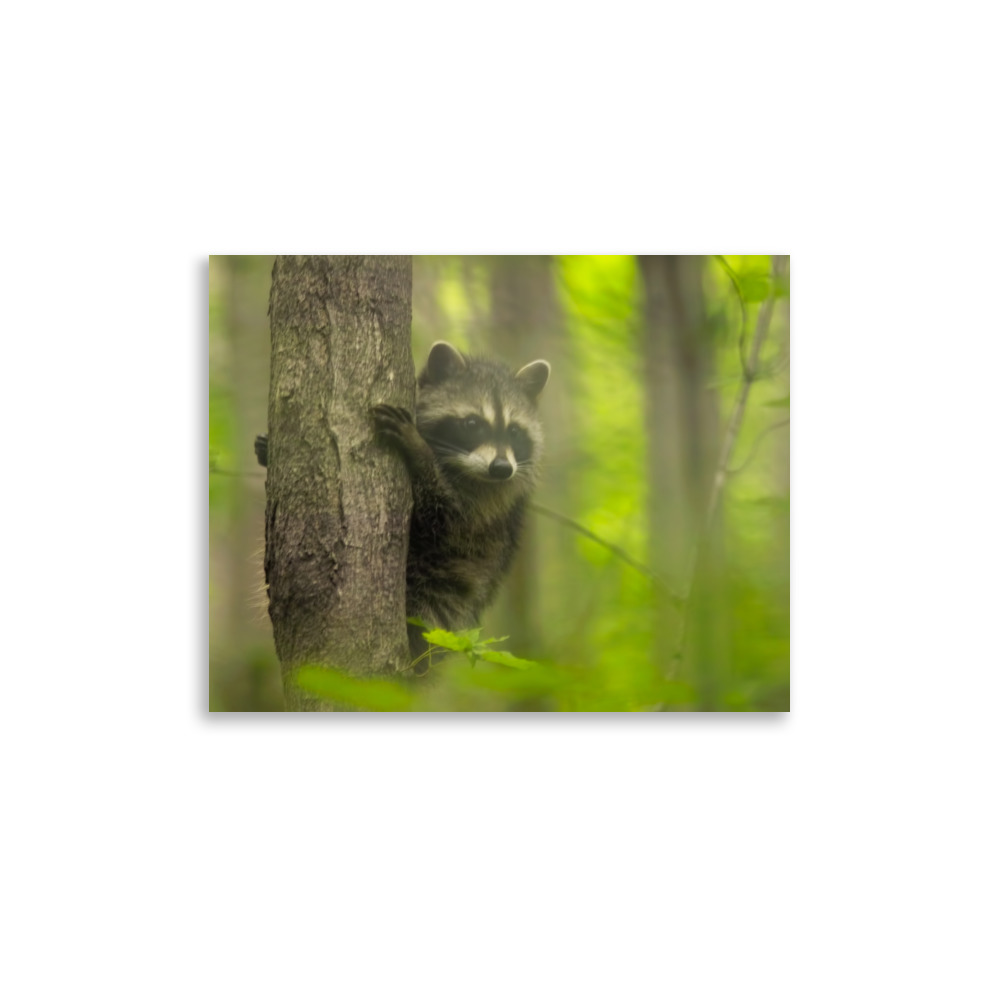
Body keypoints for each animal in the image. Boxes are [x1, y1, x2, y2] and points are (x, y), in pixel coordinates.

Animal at [255, 341, 550, 673]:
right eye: (473, 424)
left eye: (514, 431)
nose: (502, 468)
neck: (459, 465)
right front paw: (266, 450)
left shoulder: (486, 505)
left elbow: (442, 514)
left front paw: (418, 451)